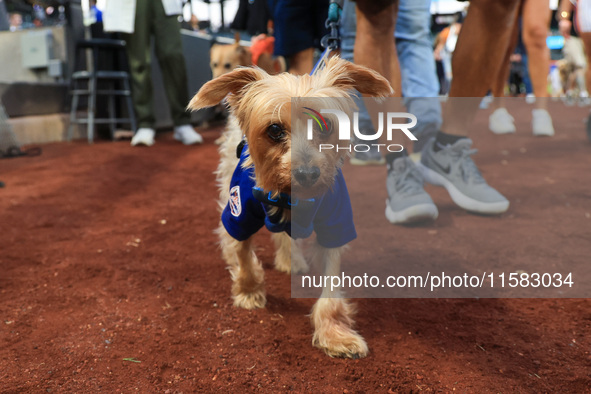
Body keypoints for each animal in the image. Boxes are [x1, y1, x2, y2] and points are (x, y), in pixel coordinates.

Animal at [190, 57, 394, 358]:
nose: (307, 174)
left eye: (325, 126)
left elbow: (331, 282)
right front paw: (248, 290)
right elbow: (242, 250)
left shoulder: (336, 223)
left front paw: (335, 334)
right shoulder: (239, 211)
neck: (287, 196)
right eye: (275, 130)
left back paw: (291, 260)